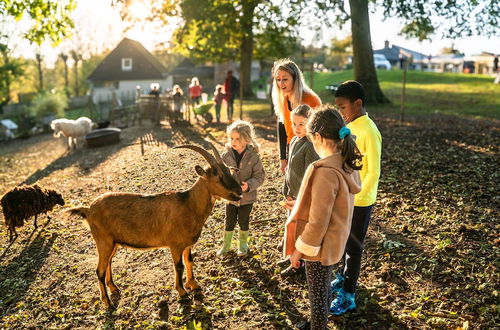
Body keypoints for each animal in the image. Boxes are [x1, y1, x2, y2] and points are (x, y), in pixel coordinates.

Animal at [66, 143, 242, 308]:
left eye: (229, 170)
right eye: (217, 175)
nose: (239, 191)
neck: (188, 204)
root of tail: (88, 209)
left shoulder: (187, 245)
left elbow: (189, 261)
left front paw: (193, 284)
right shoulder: (175, 245)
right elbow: (179, 266)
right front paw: (182, 292)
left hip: (113, 243)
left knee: (108, 263)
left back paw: (114, 288)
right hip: (103, 241)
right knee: (99, 270)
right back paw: (107, 303)